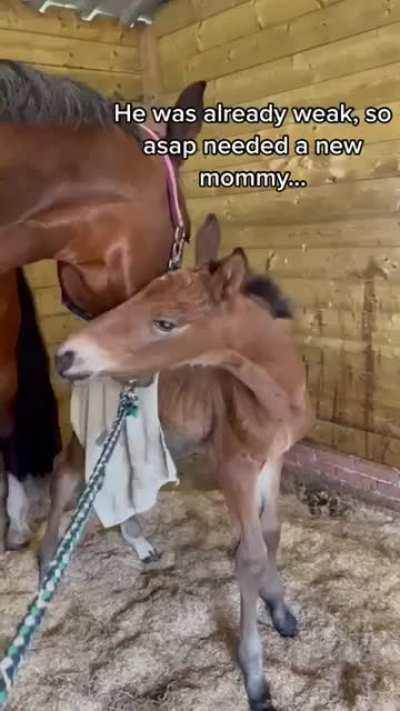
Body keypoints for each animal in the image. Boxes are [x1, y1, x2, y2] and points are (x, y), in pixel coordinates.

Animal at [51, 213, 314, 711]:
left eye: (166, 322)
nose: (65, 355)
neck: (272, 394)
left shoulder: (272, 461)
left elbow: (270, 534)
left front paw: (280, 609)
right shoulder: (234, 467)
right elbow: (249, 554)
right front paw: (256, 678)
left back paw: (139, 544)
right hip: (83, 436)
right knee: (63, 478)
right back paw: (45, 565)